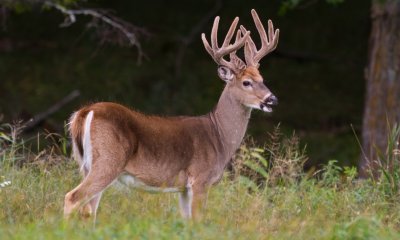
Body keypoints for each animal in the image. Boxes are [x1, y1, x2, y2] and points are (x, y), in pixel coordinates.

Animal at [65, 9, 278, 221]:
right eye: (246, 82)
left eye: (262, 79)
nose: (272, 99)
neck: (219, 137)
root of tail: (85, 112)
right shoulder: (201, 178)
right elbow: (198, 221)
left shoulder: (183, 188)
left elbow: (186, 221)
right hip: (108, 161)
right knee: (73, 198)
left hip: (86, 164)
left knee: (88, 208)